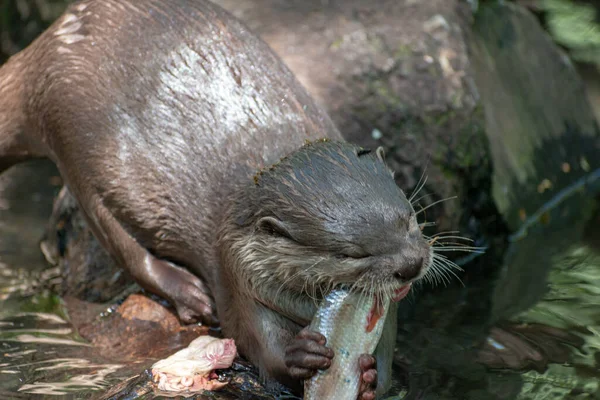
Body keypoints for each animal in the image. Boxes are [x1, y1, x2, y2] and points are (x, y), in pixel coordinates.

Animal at [0, 0, 432, 396]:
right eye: (351, 253)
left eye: (408, 218)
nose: (410, 265)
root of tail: (45, 50)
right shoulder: (236, 269)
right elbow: (257, 346)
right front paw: (298, 355)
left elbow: (387, 367)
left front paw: (370, 376)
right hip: (73, 143)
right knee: (124, 245)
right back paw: (188, 292)